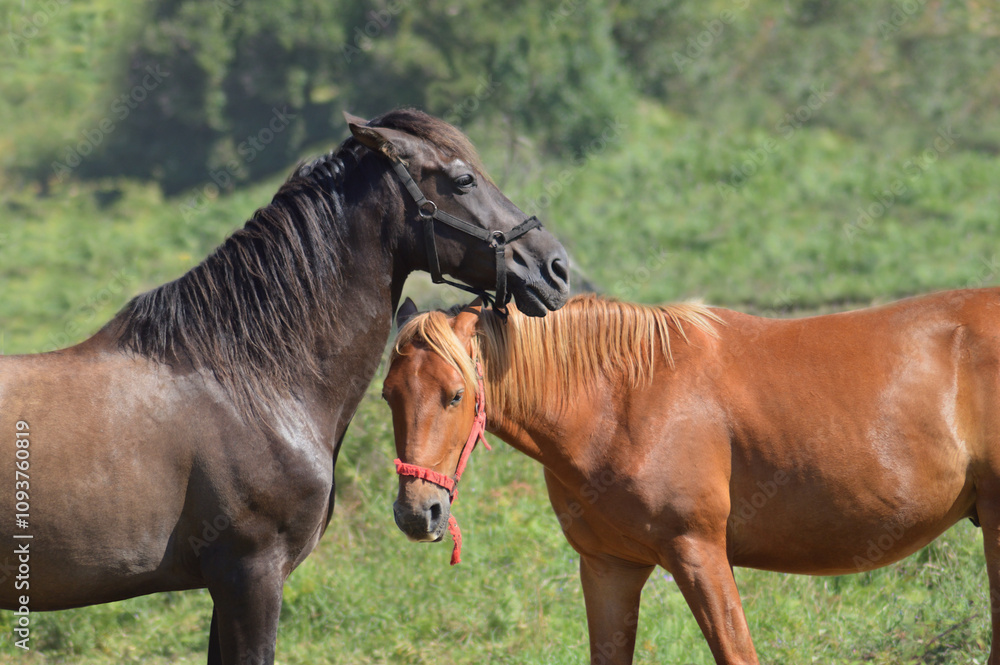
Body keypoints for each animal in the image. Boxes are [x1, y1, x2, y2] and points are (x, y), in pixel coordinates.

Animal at [383, 290, 1000, 664]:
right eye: (389, 395)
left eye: (455, 394)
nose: (418, 512)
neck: (621, 397)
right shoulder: (609, 567)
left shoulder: (697, 551)